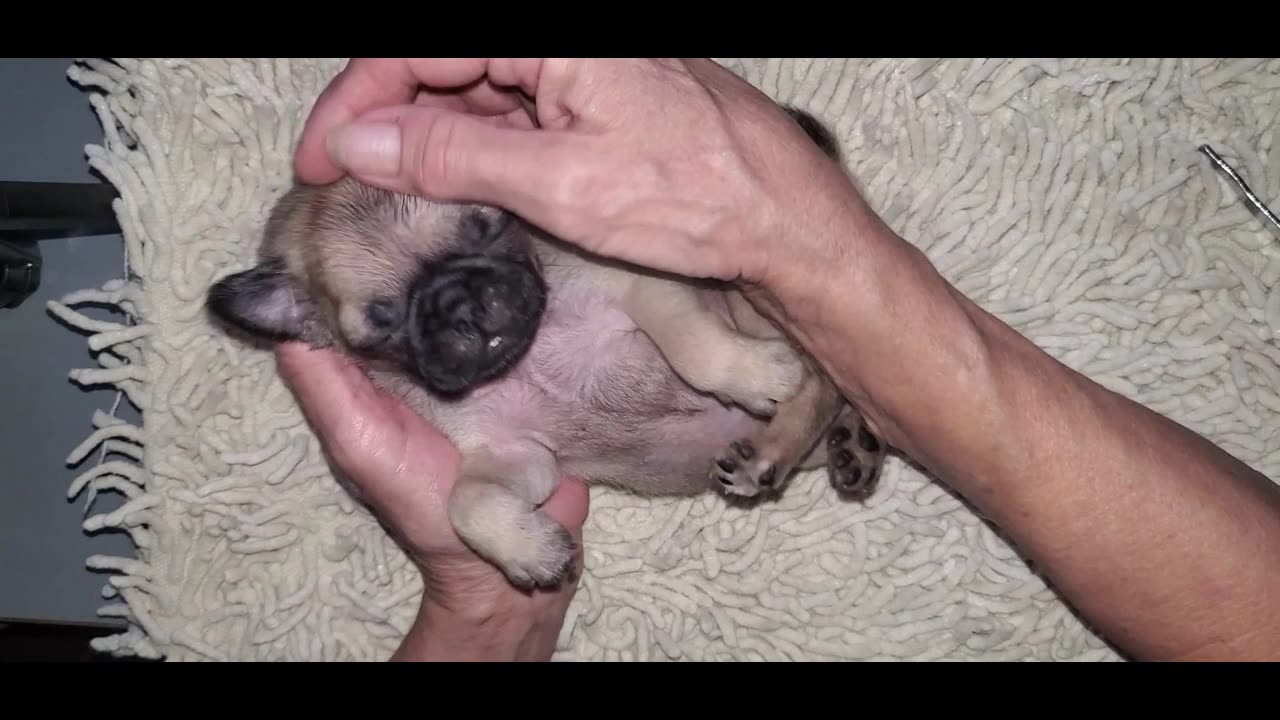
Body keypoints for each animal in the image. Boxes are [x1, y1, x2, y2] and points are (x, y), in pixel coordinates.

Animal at [209, 107, 890, 589]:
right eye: (382, 318)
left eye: (486, 223)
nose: (457, 301)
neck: (527, 355)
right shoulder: (514, 456)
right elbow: (466, 502)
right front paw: (530, 549)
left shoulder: (645, 291)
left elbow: (695, 350)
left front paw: (755, 375)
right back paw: (850, 444)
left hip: (756, 301)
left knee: (822, 378)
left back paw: (774, 441)